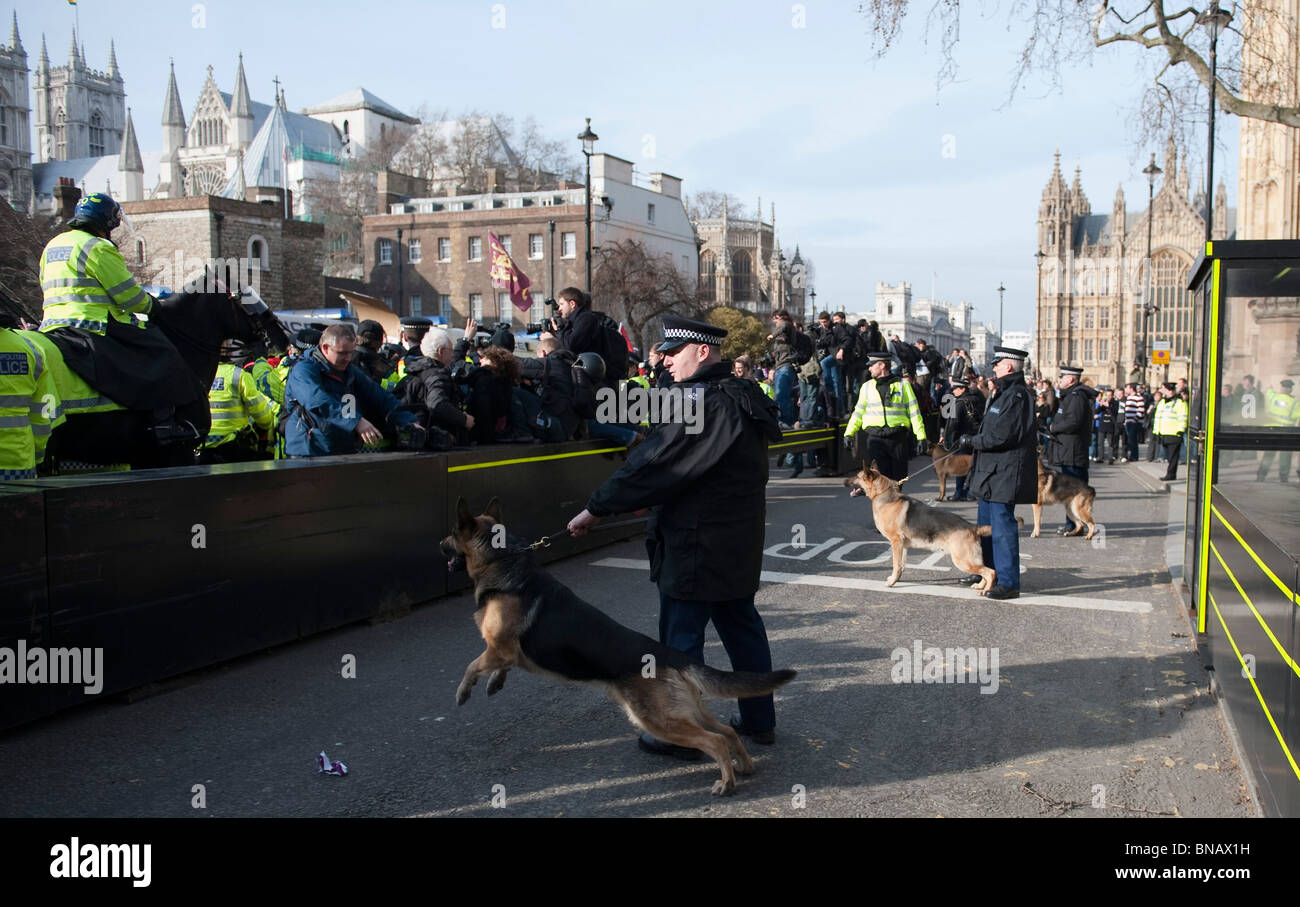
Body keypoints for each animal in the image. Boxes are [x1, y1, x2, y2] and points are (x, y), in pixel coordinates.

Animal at [441, 493, 795, 790]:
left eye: (452, 533)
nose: (439, 544)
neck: (503, 560)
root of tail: (672, 655)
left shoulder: (498, 648)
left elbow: (471, 665)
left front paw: (463, 691)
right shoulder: (505, 651)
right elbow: (500, 666)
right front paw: (494, 683)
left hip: (660, 720)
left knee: (715, 741)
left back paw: (727, 783)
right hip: (689, 711)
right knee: (728, 731)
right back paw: (745, 766)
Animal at [842, 459, 993, 592]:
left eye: (857, 476)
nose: (843, 481)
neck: (883, 494)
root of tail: (972, 527)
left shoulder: (896, 542)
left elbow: (895, 564)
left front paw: (892, 583)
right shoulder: (903, 546)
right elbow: (901, 565)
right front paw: (896, 579)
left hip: (963, 560)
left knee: (990, 572)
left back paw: (986, 591)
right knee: (986, 571)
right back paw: (980, 586)